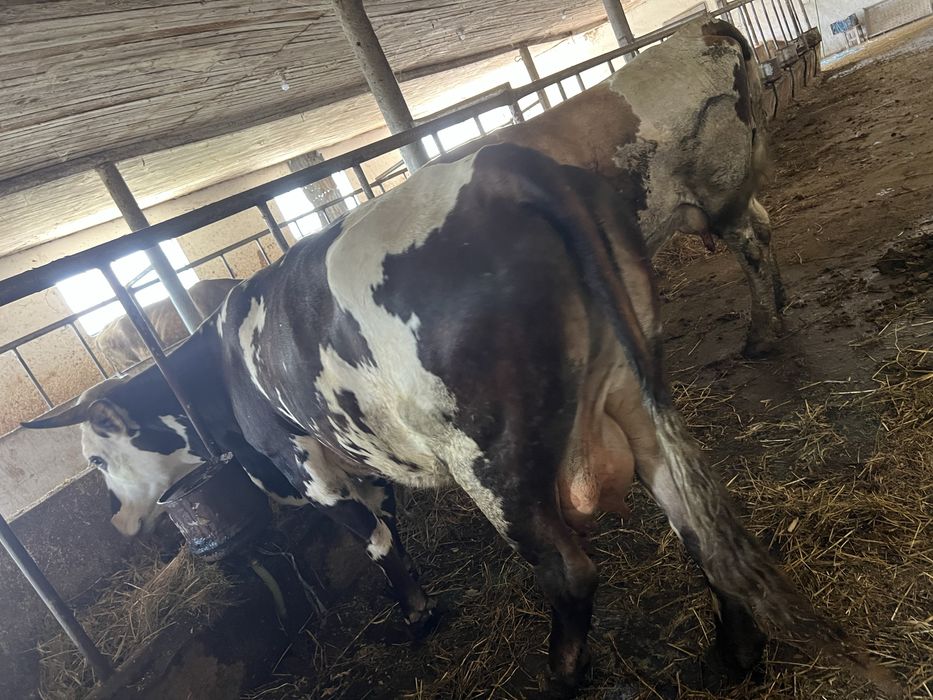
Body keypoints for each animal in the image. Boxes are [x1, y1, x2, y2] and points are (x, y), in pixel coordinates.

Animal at [438, 18, 785, 357]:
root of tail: (699, 28)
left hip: (719, 189)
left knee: (751, 247)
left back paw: (762, 335)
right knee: (763, 224)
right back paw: (779, 303)